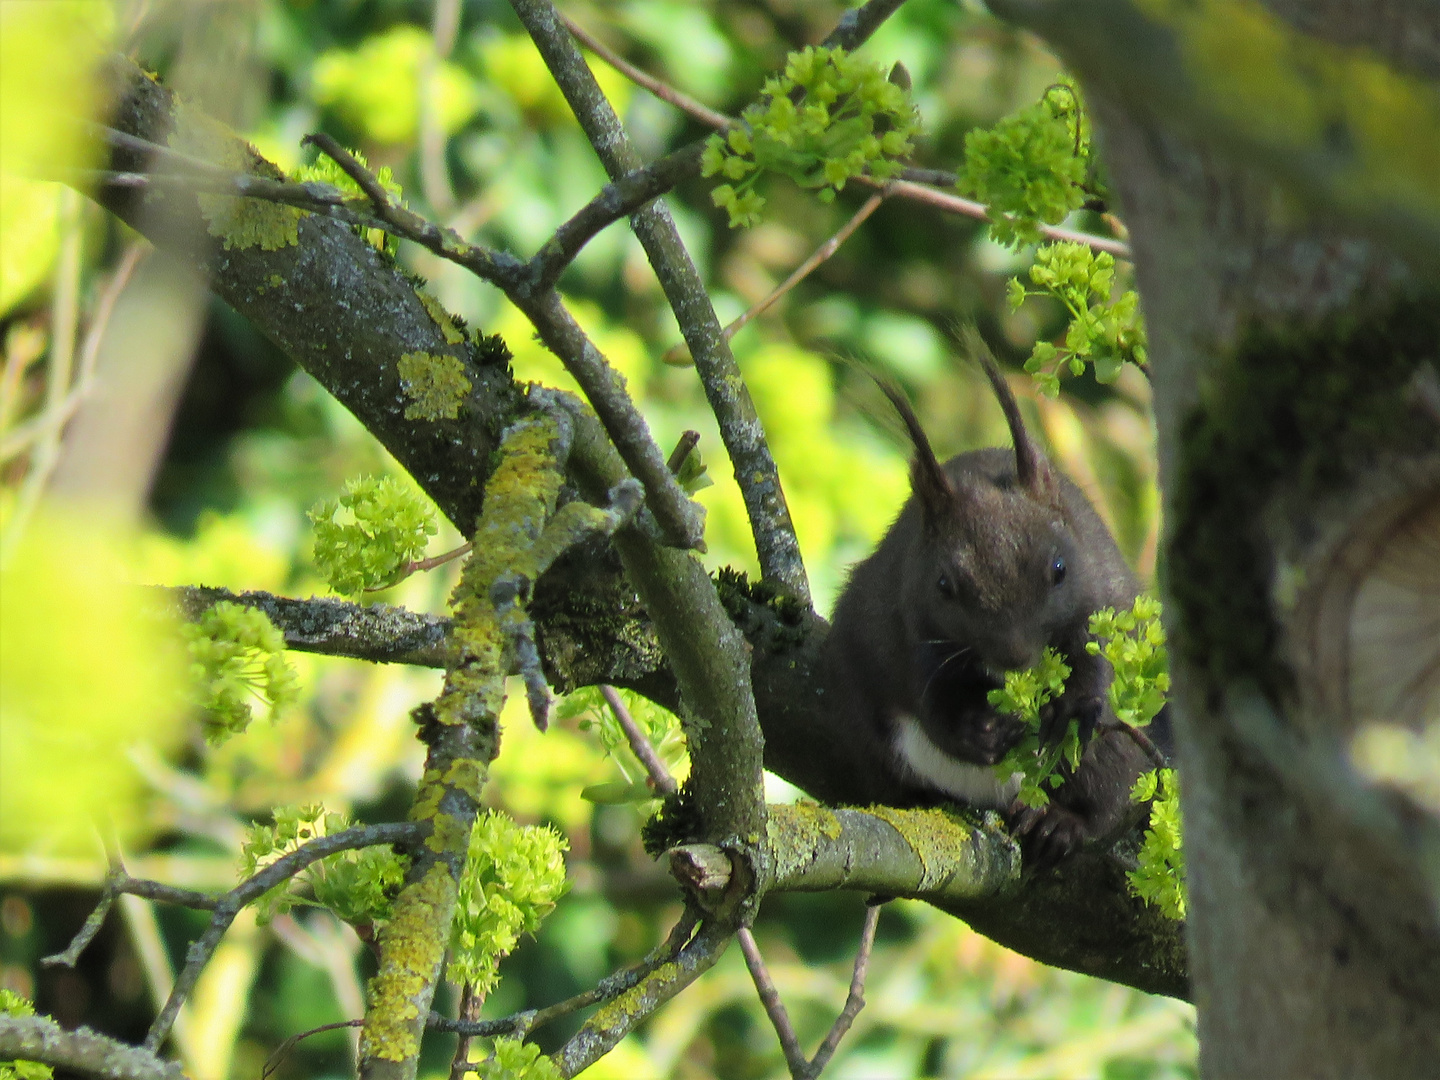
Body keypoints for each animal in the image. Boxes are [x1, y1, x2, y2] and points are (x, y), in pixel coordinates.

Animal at [823, 334, 1169, 869]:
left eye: (1059, 569)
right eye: (944, 585)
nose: (1015, 655)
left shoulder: (1103, 598)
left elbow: (1100, 659)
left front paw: (1077, 706)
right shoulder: (906, 626)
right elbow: (928, 701)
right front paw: (974, 731)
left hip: (1117, 759)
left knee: (1105, 795)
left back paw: (1060, 823)